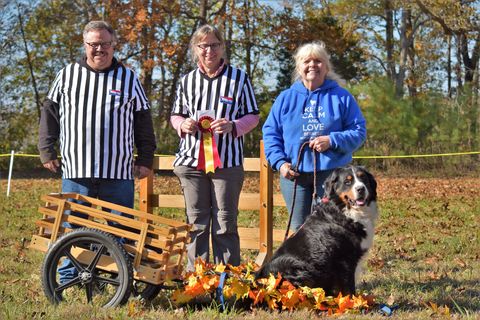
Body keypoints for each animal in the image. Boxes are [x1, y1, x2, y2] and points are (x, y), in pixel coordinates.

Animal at [256, 166, 376, 296]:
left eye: (363, 178)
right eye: (347, 182)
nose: (361, 189)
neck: (344, 212)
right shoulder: (345, 261)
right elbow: (349, 290)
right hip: (299, 268)